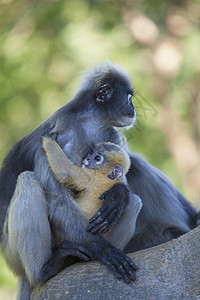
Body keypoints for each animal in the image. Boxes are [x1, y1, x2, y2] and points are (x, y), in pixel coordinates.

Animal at [0, 62, 198, 296]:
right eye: (128, 98)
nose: (133, 109)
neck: (87, 123)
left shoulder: (110, 136)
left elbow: (121, 181)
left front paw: (118, 195)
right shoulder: (59, 132)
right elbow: (58, 197)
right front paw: (101, 249)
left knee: (132, 200)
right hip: (13, 253)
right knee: (29, 180)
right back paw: (44, 270)